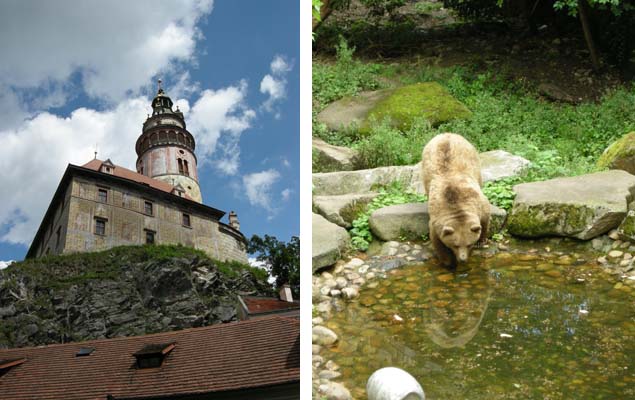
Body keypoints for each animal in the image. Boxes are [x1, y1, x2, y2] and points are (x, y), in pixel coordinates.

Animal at [422, 134, 492, 268]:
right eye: (455, 245)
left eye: (469, 244)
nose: (462, 259)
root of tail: (446, 134)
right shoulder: (437, 218)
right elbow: (437, 240)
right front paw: (448, 261)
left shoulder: (479, 202)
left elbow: (485, 217)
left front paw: (481, 241)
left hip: (474, 159)